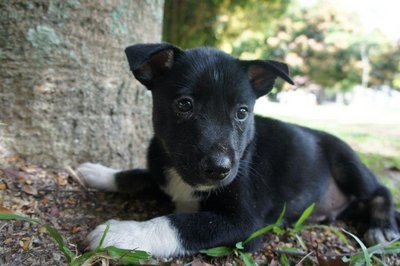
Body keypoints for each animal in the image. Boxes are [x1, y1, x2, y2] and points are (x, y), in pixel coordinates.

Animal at [76, 43, 398, 258]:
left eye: (242, 113)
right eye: (184, 105)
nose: (219, 169)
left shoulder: (246, 223)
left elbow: (178, 224)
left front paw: (119, 233)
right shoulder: (162, 170)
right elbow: (137, 174)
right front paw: (99, 172)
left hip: (347, 161)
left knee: (380, 190)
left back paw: (383, 226)